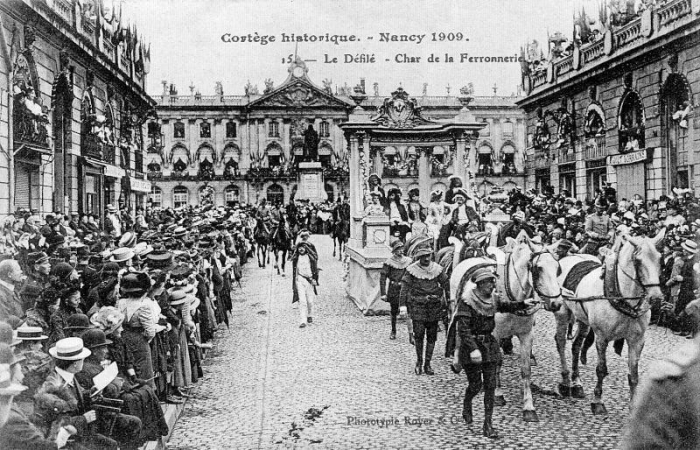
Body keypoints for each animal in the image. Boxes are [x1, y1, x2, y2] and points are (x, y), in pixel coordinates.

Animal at [552, 229, 660, 414]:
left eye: (659, 258)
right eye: (638, 261)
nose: (656, 297)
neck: (622, 297)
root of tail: (567, 257)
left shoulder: (637, 340)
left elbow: (633, 375)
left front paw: (633, 406)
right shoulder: (602, 337)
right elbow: (601, 369)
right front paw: (598, 401)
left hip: (583, 320)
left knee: (576, 346)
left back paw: (577, 383)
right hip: (562, 313)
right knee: (560, 342)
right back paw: (565, 382)